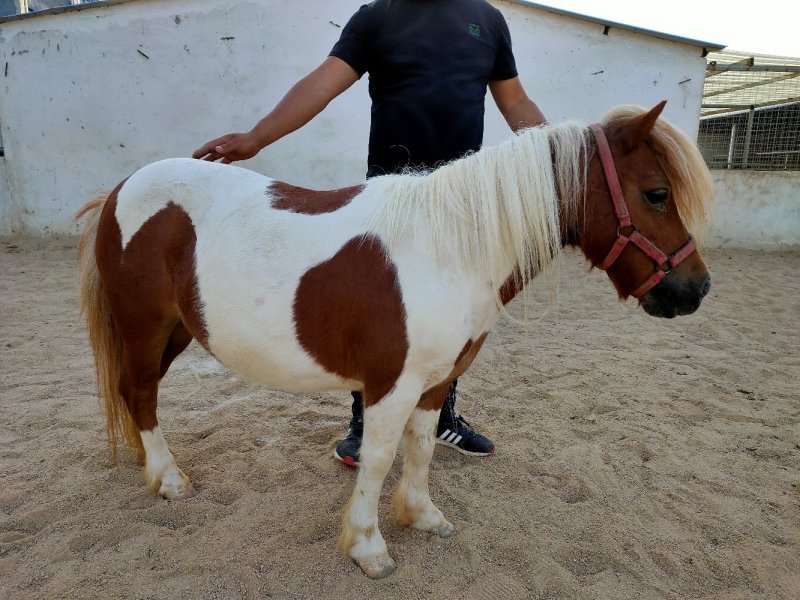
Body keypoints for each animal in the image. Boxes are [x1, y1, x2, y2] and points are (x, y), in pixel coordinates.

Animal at [76, 102, 713, 579]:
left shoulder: (434, 382)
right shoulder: (391, 383)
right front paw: (369, 548)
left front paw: (423, 516)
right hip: (145, 327)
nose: (696, 289)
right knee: (140, 394)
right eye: (656, 193)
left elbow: (422, 448)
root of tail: (121, 189)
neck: (448, 249)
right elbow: (379, 458)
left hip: (177, 330)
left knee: (138, 396)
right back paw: (169, 480)